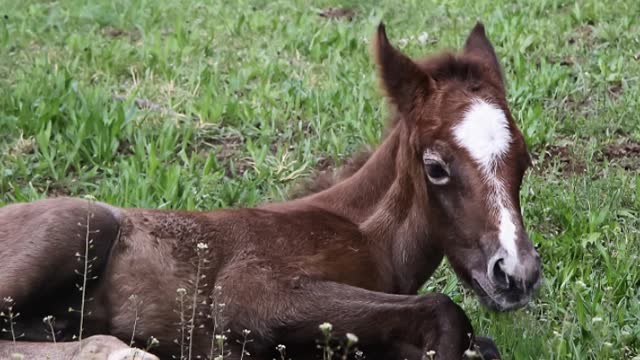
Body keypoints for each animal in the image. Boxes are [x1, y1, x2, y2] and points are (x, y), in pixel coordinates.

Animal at [0, 23, 540, 360]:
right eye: (436, 168)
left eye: (525, 160)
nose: (516, 274)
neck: (366, 234)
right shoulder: (248, 292)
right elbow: (445, 312)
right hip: (82, 224)